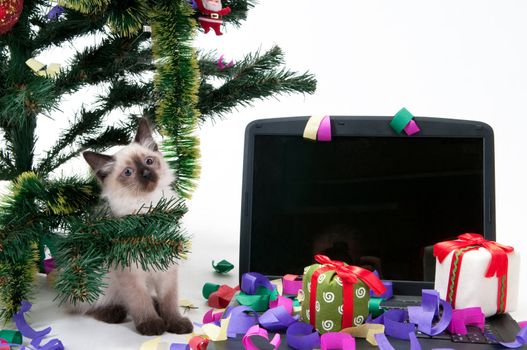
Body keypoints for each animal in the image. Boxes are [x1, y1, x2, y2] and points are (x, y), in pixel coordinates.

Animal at [83, 119, 195, 334]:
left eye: (149, 161)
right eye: (128, 172)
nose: (145, 173)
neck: (149, 210)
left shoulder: (166, 264)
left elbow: (169, 300)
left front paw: (175, 323)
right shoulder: (129, 271)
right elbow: (139, 302)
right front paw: (151, 325)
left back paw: (156, 305)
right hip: (97, 278)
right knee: (89, 304)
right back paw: (113, 312)